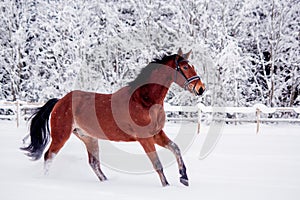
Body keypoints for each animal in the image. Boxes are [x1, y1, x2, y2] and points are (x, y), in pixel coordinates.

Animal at [20, 48, 204, 186]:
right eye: (185, 67)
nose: (201, 88)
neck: (144, 101)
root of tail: (60, 101)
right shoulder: (145, 138)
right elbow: (157, 163)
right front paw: (167, 186)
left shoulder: (157, 134)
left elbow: (176, 148)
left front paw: (184, 177)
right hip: (61, 136)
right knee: (49, 156)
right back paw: (46, 180)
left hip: (89, 138)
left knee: (94, 163)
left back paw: (107, 182)